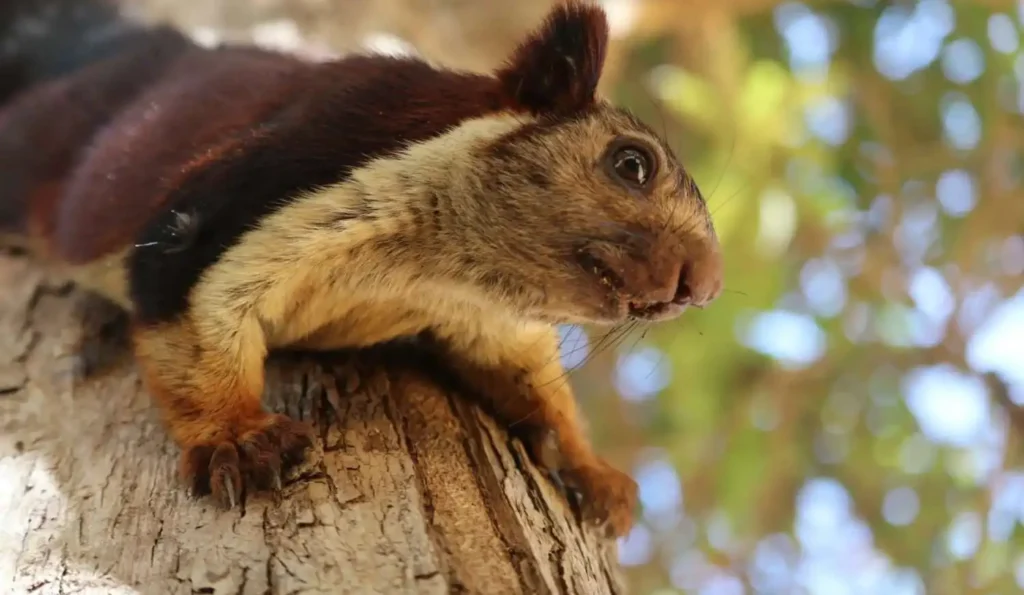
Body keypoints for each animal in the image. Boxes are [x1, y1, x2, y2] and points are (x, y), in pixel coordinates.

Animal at [0, 0, 723, 537]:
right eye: (632, 163)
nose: (707, 284)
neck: (432, 271)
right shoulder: (239, 205)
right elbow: (186, 316)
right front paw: (238, 437)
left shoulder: (486, 319)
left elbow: (531, 379)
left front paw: (589, 467)